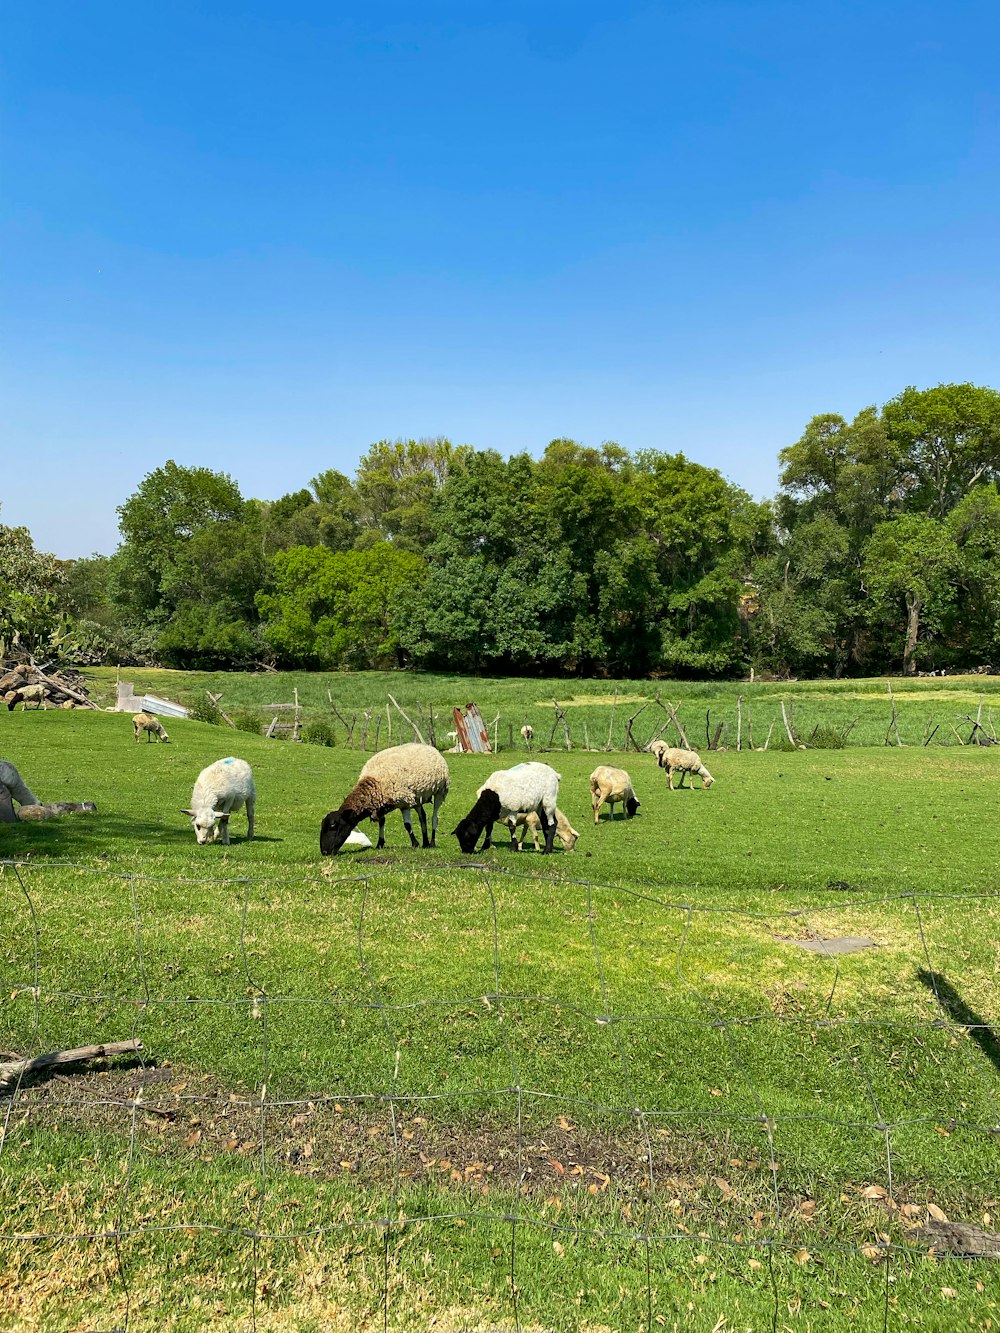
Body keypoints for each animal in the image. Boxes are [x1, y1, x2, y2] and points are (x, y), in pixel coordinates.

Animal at [321, 741, 450, 853]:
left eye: (333, 826)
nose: (324, 852)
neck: (375, 782)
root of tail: (430, 747)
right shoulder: (379, 804)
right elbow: (381, 822)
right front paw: (380, 843)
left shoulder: (403, 802)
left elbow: (407, 825)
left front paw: (414, 844)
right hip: (417, 796)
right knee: (422, 816)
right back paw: (425, 842)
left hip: (440, 791)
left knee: (434, 817)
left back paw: (432, 842)